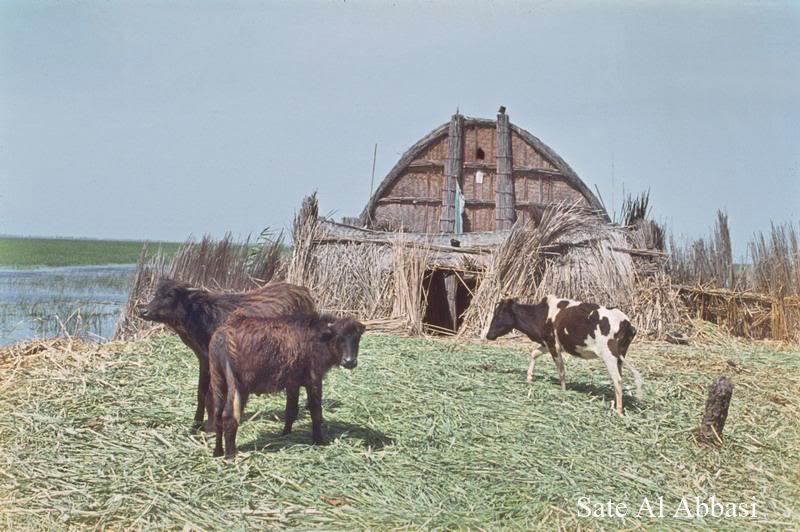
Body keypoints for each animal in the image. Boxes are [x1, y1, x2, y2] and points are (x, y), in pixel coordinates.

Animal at [138, 278, 315, 432]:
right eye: (156, 293)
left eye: (170, 295)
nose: (144, 312)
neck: (205, 318)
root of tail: (304, 292)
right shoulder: (203, 359)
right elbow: (202, 391)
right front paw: (197, 425)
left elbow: (212, 392)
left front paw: (209, 425)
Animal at [209, 312, 366, 458]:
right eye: (339, 338)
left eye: (357, 338)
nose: (350, 361)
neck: (317, 338)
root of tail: (223, 334)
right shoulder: (314, 380)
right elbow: (315, 411)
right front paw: (319, 440)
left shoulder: (292, 385)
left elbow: (291, 410)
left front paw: (285, 433)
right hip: (237, 386)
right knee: (229, 416)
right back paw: (230, 455)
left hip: (218, 382)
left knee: (217, 415)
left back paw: (217, 451)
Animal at [486, 295, 642, 415]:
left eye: (499, 314)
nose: (488, 335)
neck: (541, 315)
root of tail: (627, 323)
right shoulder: (547, 343)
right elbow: (534, 353)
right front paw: (529, 377)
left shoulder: (553, 344)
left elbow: (561, 370)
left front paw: (563, 391)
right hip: (620, 357)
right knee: (620, 378)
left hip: (609, 355)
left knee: (618, 380)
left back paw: (618, 411)